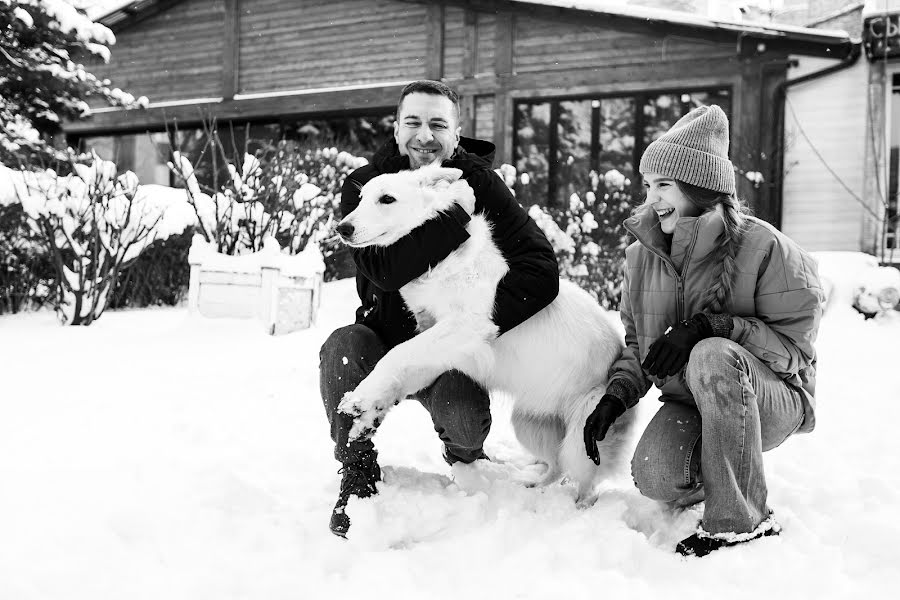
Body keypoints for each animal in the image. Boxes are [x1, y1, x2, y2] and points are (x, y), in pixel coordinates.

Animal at [338, 165, 632, 502]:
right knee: (556, 466)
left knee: (585, 482)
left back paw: (577, 506)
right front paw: (367, 413)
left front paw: (362, 398)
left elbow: (396, 355)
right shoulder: (440, 347)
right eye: (361, 198)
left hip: (584, 433)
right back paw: (533, 486)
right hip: (528, 424)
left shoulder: (466, 326)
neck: (439, 260)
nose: (342, 228)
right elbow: (401, 370)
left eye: (387, 199)